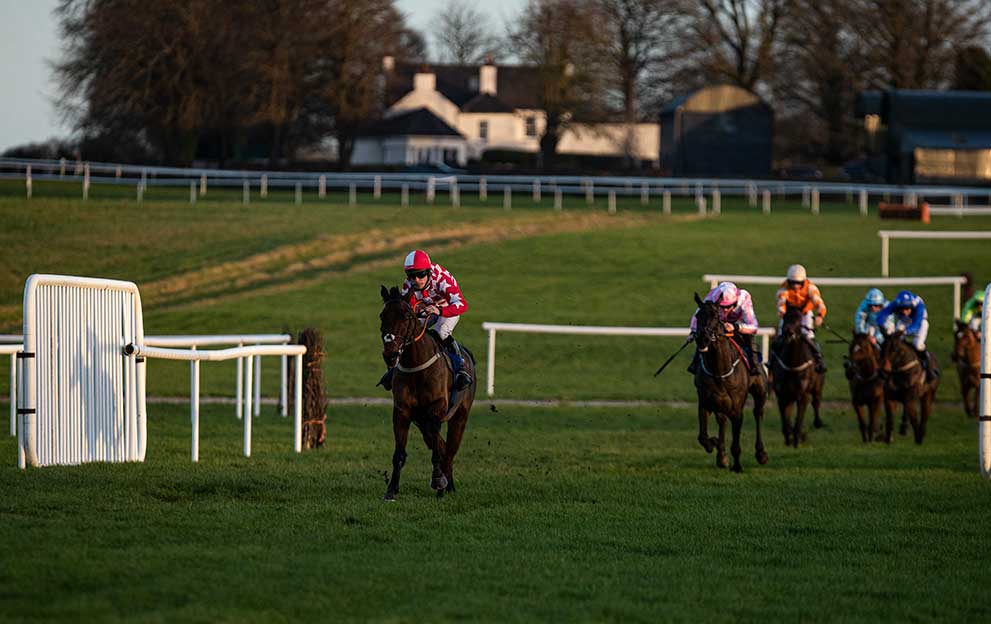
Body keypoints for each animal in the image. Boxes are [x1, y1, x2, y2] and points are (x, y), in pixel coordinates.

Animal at [378, 286, 474, 500]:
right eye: (382, 316)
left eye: (406, 316)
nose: (390, 355)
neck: (416, 367)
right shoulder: (402, 412)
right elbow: (399, 454)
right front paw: (391, 489)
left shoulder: (436, 410)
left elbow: (438, 453)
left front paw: (438, 480)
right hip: (422, 422)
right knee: (442, 446)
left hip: (459, 416)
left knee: (449, 451)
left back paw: (448, 486)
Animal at [688, 294, 768, 470]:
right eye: (698, 315)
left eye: (716, 316)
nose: (702, 338)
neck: (720, 371)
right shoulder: (705, 402)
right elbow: (702, 436)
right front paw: (715, 444)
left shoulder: (737, 409)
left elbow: (736, 444)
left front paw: (737, 466)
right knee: (722, 420)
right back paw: (722, 456)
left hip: (760, 392)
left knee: (758, 413)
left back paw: (761, 454)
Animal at [772, 304, 824, 446]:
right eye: (785, 317)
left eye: (799, 320)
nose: (788, 333)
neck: (792, 365)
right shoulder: (782, 395)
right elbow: (786, 419)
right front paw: (788, 437)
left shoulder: (804, 395)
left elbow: (799, 418)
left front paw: (797, 438)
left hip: (818, 386)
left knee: (816, 402)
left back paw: (818, 422)